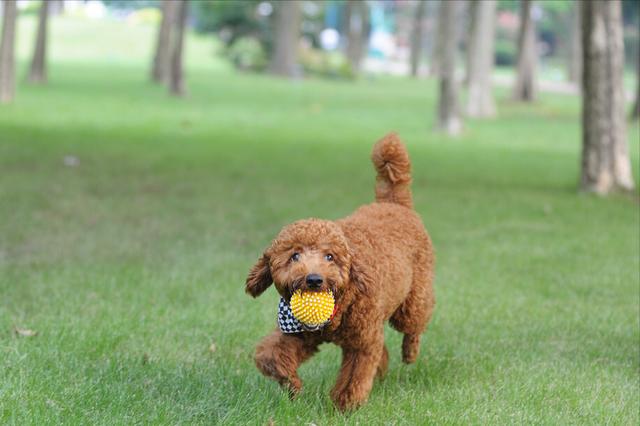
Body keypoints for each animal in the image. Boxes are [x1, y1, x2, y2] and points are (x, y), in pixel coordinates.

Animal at [245, 132, 436, 410]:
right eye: (294, 256)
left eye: (330, 257)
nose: (314, 279)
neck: (341, 302)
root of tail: (394, 203)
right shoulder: (301, 334)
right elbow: (271, 355)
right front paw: (291, 384)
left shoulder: (361, 343)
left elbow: (354, 376)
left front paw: (344, 405)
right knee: (384, 346)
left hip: (412, 298)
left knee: (415, 321)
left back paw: (410, 351)